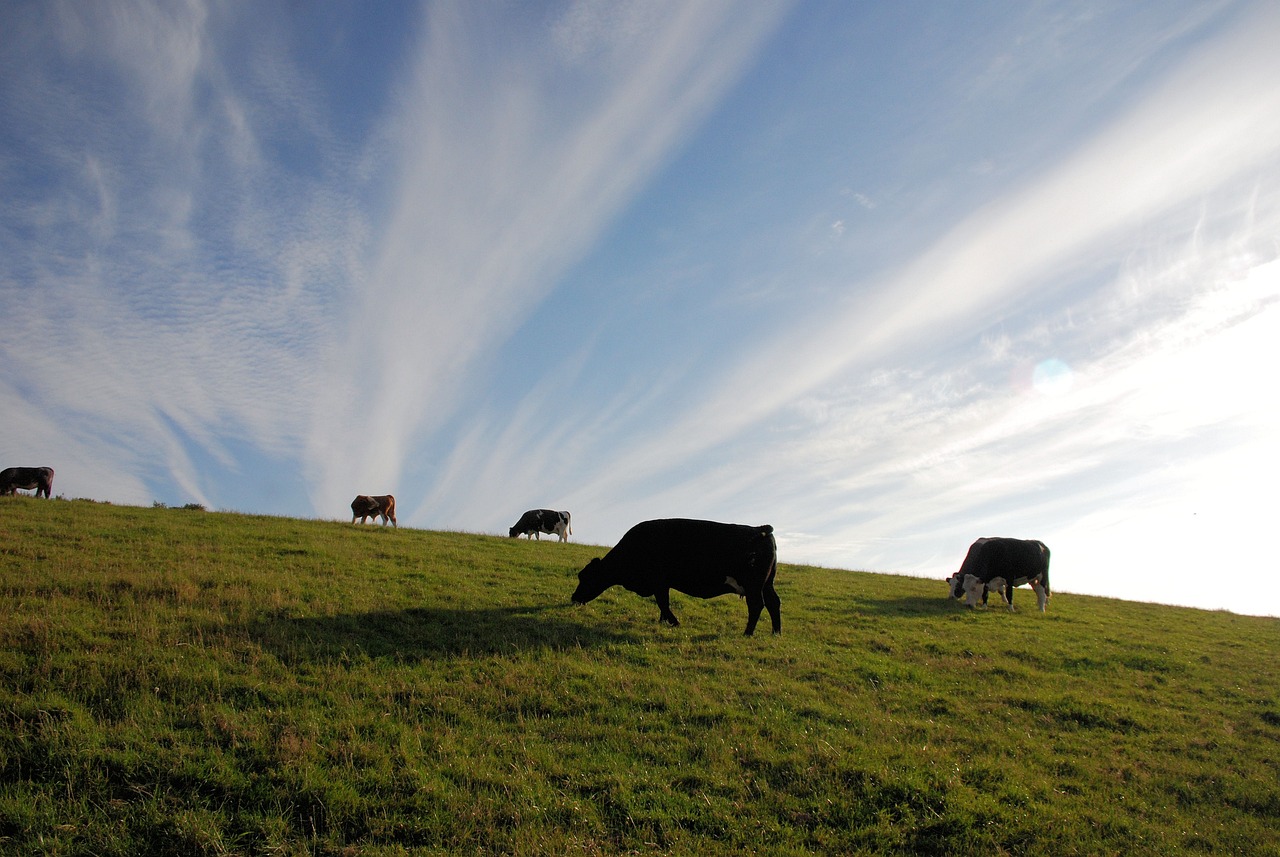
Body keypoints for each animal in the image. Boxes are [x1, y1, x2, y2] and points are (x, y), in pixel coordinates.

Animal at [573, 519, 778, 634]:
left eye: (585, 578)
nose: (573, 597)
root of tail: (760, 529)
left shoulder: (658, 582)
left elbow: (663, 603)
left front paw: (674, 622)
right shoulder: (661, 584)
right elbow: (663, 604)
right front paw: (664, 622)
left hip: (754, 585)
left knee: (757, 605)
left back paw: (748, 633)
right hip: (767, 584)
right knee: (774, 602)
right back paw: (776, 633)